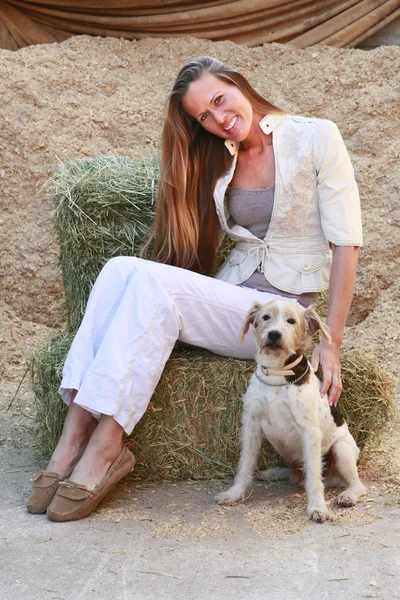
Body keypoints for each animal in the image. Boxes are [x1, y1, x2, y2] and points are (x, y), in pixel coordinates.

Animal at [214, 298, 368, 520]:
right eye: (265, 317)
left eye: (292, 321)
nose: (274, 334)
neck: (276, 375)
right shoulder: (251, 425)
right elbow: (245, 464)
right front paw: (234, 494)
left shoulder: (309, 432)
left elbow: (313, 474)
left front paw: (317, 507)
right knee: (298, 473)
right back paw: (273, 473)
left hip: (342, 450)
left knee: (355, 484)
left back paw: (348, 496)